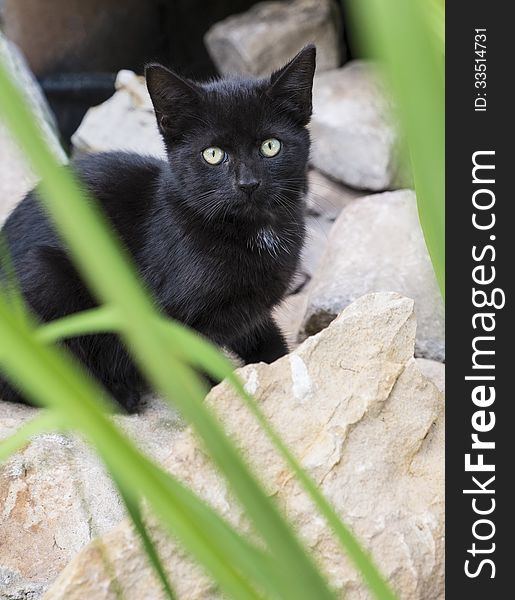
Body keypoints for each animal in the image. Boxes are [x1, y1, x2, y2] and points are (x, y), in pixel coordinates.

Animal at [0, 44, 316, 410]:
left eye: (270, 146)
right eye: (212, 154)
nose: (248, 183)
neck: (252, 230)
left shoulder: (251, 311)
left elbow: (266, 341)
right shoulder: (172, 323)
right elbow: (200, 373)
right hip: (46, 275)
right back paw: (117, 394)